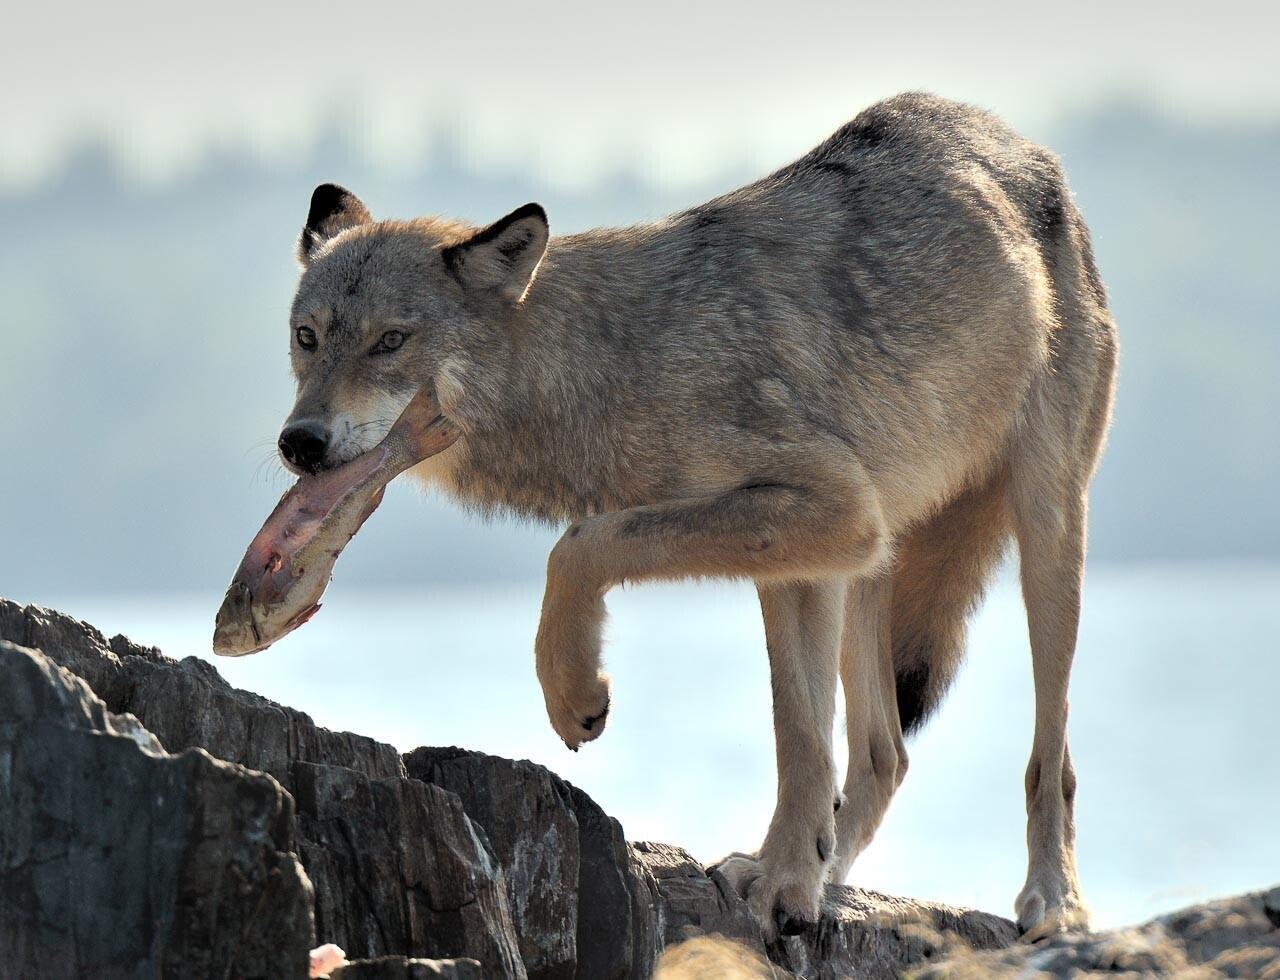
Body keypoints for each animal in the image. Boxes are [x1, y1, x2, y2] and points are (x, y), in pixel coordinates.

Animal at [275, 92, 1117, 939]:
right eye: (306, 338)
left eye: (390, 342)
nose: (300, 444)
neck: (616, 359)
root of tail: (1014, 146)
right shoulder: (808, 556)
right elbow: (800, 739)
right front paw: (789, 880)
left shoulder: (828, 511)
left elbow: (578, 547)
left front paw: (574, 693)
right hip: (869, 567)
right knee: (885, 754)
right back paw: (831, 875)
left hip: (1045, 536)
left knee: (1053, 759)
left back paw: (1055, 901)